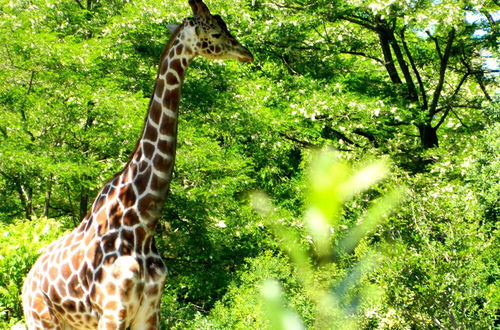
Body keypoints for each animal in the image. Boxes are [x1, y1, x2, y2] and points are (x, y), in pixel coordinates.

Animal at [21, 1, 252, 328]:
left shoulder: (149, 312)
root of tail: (27, 282)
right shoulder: (112, 311)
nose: (247, 53)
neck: (142, 225)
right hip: (41, 318)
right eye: (217, 32)